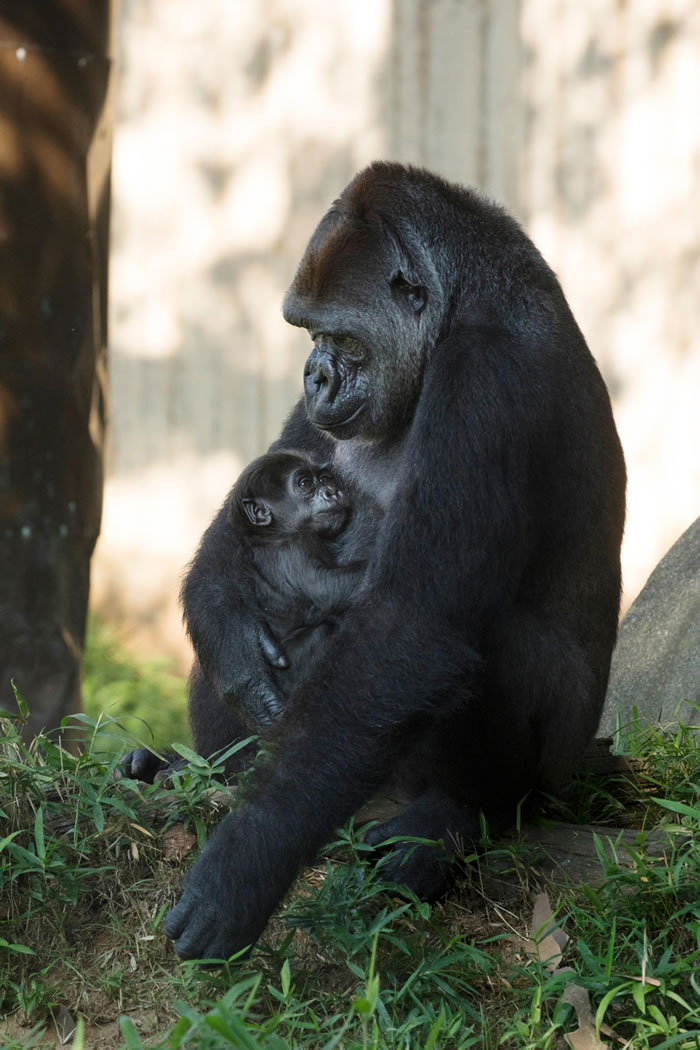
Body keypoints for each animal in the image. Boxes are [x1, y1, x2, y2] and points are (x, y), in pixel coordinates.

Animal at [162, 161, 625, 961]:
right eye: (307, 333)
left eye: (340, 337)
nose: (314, 376)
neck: (466, 305)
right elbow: (236, 536)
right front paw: (235, 647)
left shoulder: (487, 376)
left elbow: (412, 627)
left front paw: (248, 862)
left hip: (551, 772)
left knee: (482, 646)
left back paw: (459, 813)